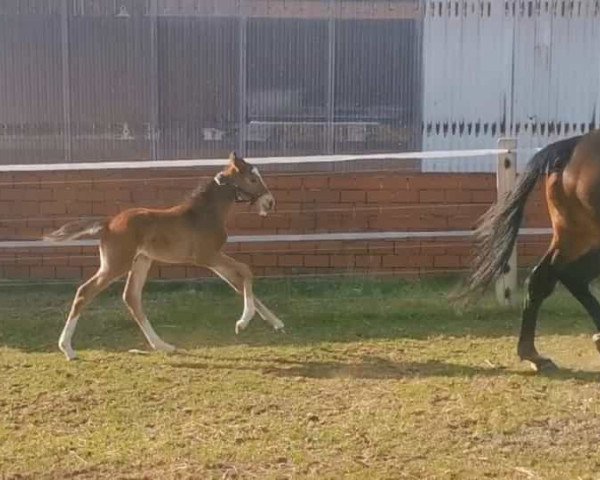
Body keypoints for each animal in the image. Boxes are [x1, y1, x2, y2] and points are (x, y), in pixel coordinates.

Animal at [44, 153, 284, 360]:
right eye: (253, 179)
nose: (270, 202)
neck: (205, 214)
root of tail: (108, 223)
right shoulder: (207, 256)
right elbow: (246, 271)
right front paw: (243, 322)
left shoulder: (214, 260)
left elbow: (238, 282)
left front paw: (275, 322)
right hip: (116, 264)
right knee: (85, 292)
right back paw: (68, 349)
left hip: (141, 261)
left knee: (131, 297)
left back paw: (162, 345)